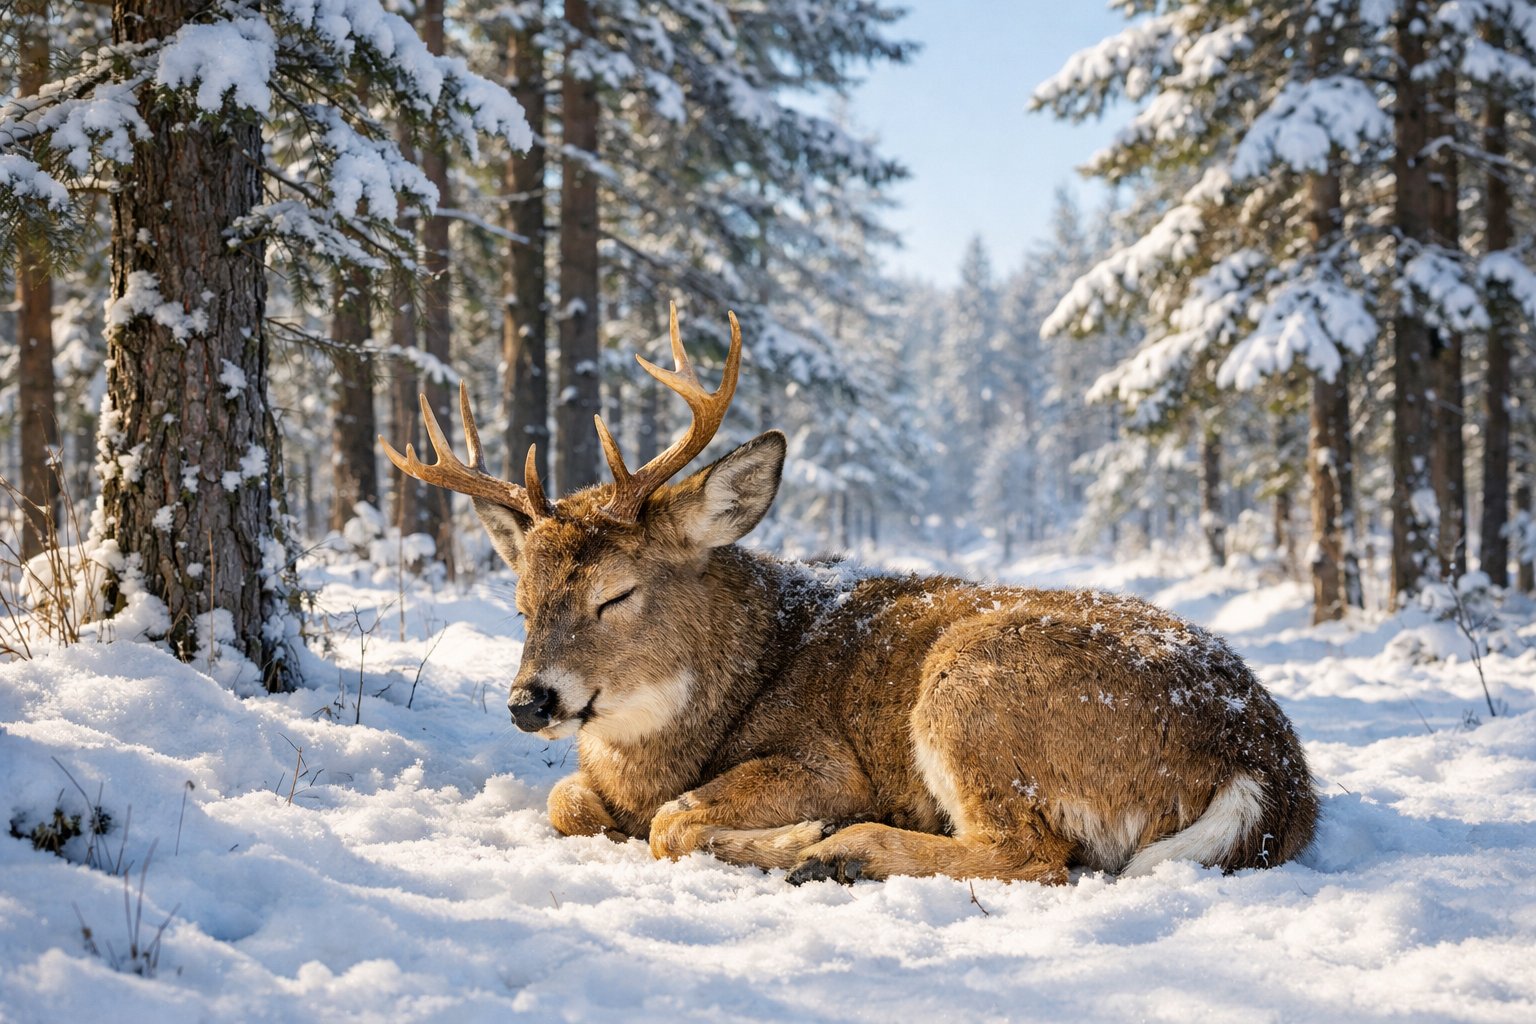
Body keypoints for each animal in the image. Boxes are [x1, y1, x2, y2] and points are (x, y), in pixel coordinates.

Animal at [380, 306, 1318, 885]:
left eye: (616, 594)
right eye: (521, 603)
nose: (528, 701)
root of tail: (1264, 761)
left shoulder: (823, 760)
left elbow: (668, 822)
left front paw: (794, 835)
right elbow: (565, 799)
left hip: (974, 687)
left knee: (1032, 853)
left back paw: (844, 852)